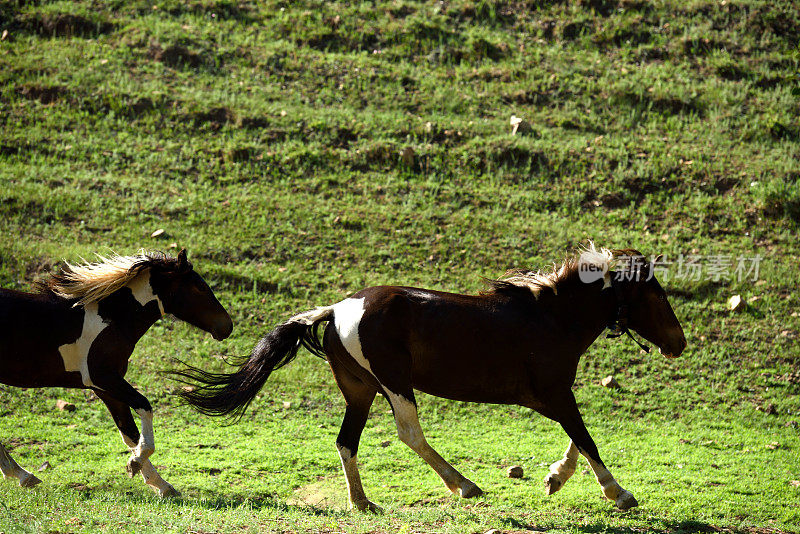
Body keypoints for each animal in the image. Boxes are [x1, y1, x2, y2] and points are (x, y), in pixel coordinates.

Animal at [0, 251, 231, 498]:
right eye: (199, 287)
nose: (228, 326)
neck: (112, 319)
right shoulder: (103, 378)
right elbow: (144, 408)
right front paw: (135, 464)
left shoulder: (106, 389)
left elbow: (130, 433)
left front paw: (160, 484)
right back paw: (22, 475)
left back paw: (22, 475)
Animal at [178, 246, 684, 510]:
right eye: (655, 294)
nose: (678, 343)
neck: (549, 318)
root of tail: (336, 309)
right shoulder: (553, 393)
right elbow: (586, 438)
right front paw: (619, 493)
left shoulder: (553, 395)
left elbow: (576, 439)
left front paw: (555, 478)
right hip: (394, 383)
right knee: (409, 433)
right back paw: (464, 485)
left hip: (360, 391)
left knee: (347, 441)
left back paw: (362, 502)